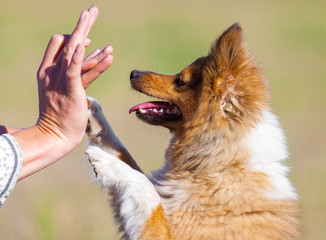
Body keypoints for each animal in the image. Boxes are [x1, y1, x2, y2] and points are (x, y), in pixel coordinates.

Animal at [85, 23, 300, 240]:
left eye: (180, 81)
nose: (133, 73)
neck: (222, 163)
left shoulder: (165, 231)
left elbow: (143, 185)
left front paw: (103, 161)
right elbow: (124, 154)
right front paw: (90, 111)